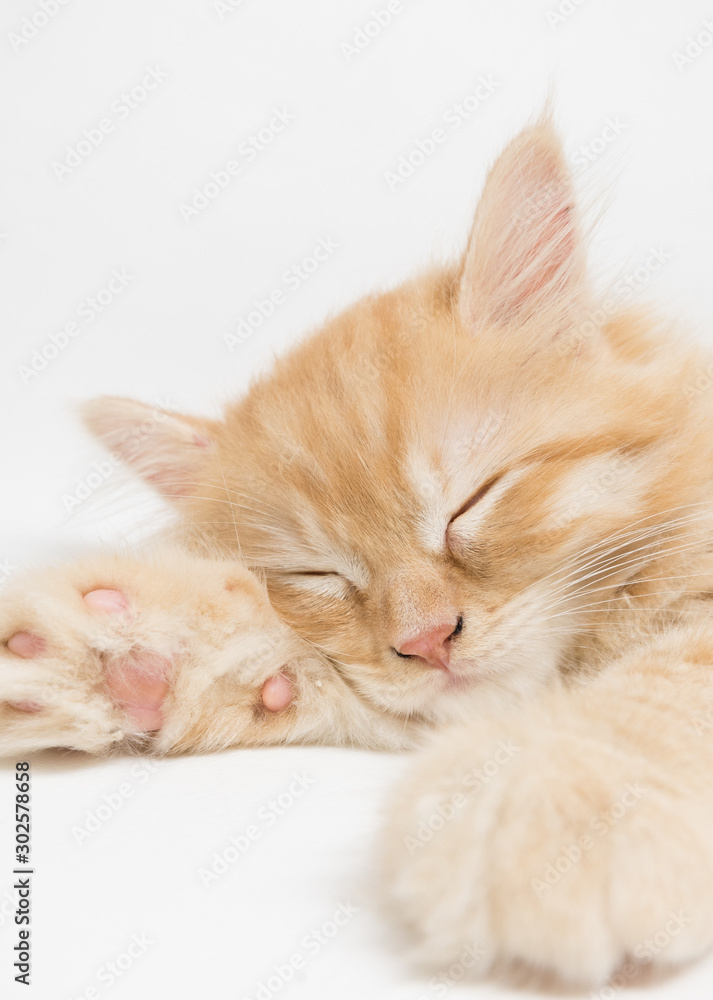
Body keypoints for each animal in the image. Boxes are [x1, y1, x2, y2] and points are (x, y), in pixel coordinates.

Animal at [3, 115, 713, 989]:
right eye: (320, 575)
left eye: (469, 504)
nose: (426, 640)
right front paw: (129, 661)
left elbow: (667, 680)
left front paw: (560, 808)